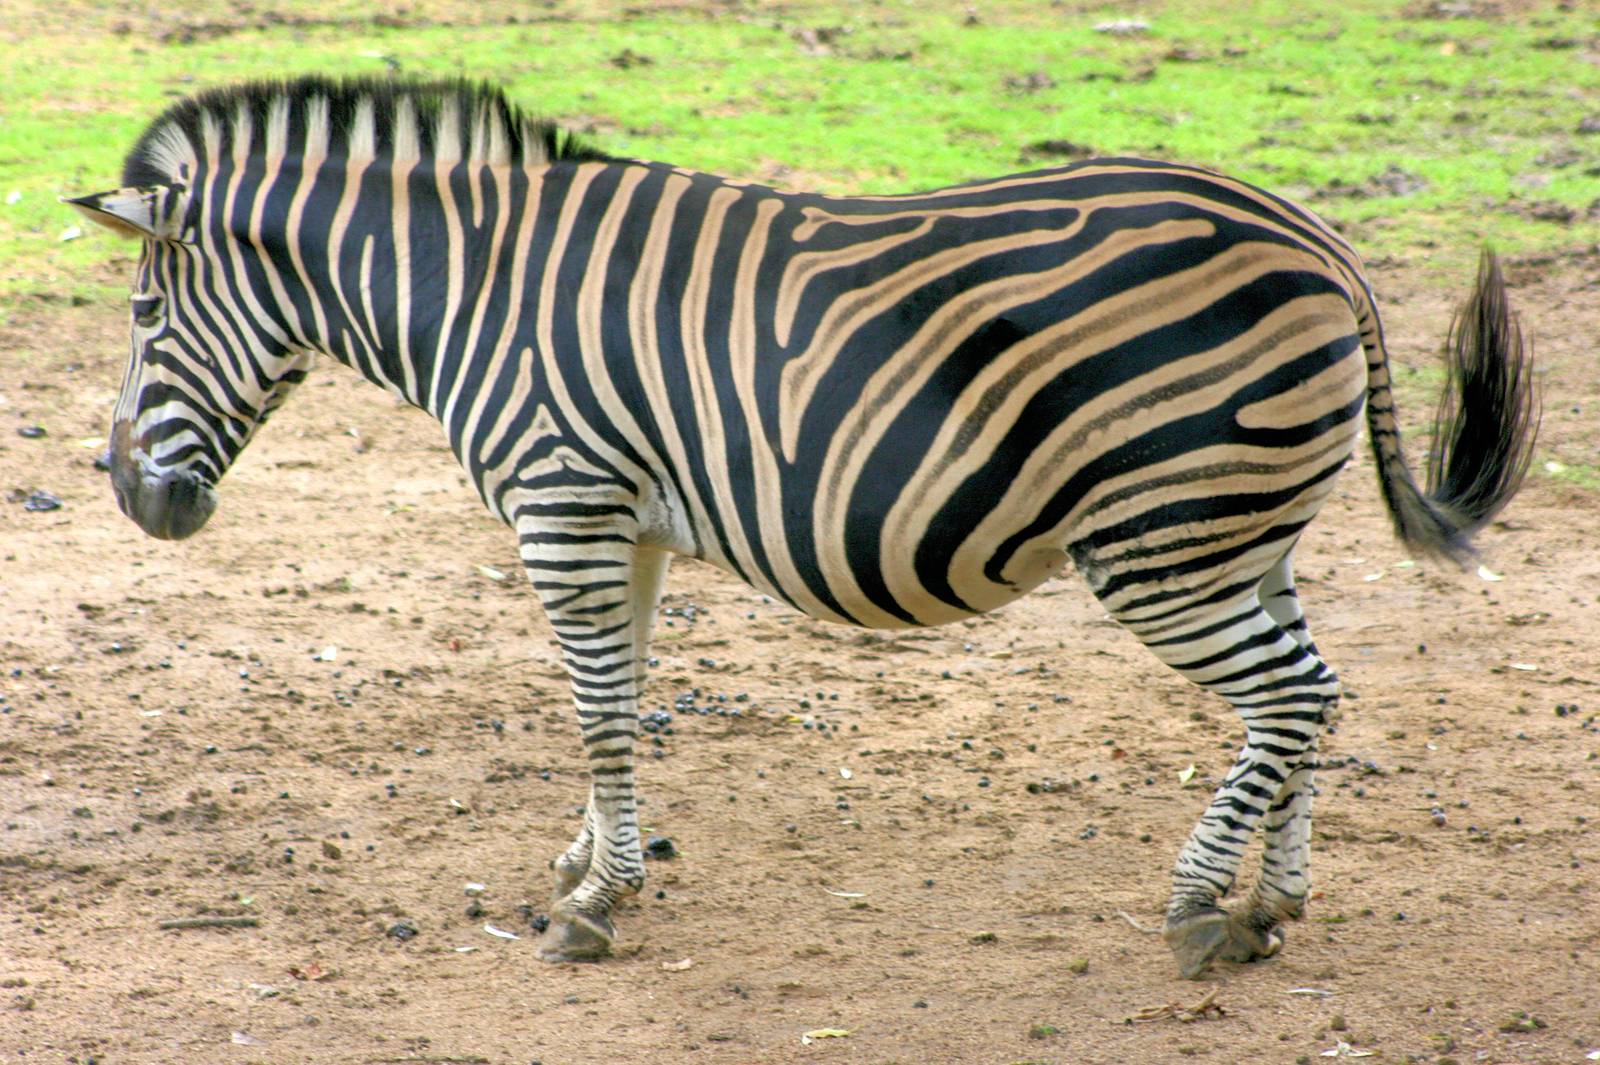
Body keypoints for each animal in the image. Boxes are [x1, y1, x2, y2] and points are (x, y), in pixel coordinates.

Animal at [66, 76, 1537, 979]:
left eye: (142, 315)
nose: (131, 497)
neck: (474, 291)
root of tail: (1320, 239)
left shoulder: (561, 504)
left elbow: (596, 709)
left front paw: (594, 906)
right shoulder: (623, 521)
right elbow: (619, 698)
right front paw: (595, 859)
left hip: (1162, 541)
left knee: (1292, 696)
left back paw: (1195, 909)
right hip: (1239, 531)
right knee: (1309, 695)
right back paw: (1269, 908)